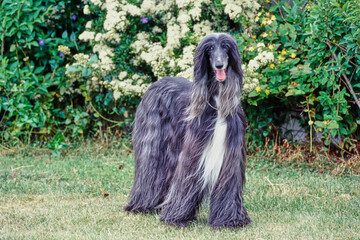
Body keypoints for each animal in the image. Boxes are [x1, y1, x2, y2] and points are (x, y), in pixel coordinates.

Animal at [124, 32, 250, 228]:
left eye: (225, 46)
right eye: (210, 48)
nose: (219, 65)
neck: (217, 101)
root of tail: (157, 82)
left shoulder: (231, 155)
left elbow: (228, 184)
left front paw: (229, 220)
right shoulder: (193, 151)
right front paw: (177, 217)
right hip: (153, 142)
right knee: (149, 169)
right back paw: (143, 204)